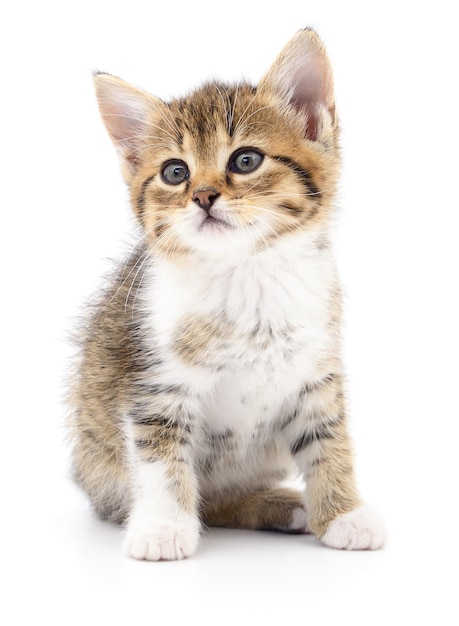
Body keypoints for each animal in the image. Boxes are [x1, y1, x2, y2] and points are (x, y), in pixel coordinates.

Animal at [67, 28, 384, 560]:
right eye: (175, 172)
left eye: (245, 160)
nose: (203, 196)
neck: (245, 272)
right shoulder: (154, 384)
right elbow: (160, 458)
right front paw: (163, 529)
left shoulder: (315, 371)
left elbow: (329, 439)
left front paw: (345, 513)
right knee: (208, 500)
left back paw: (283, 505)